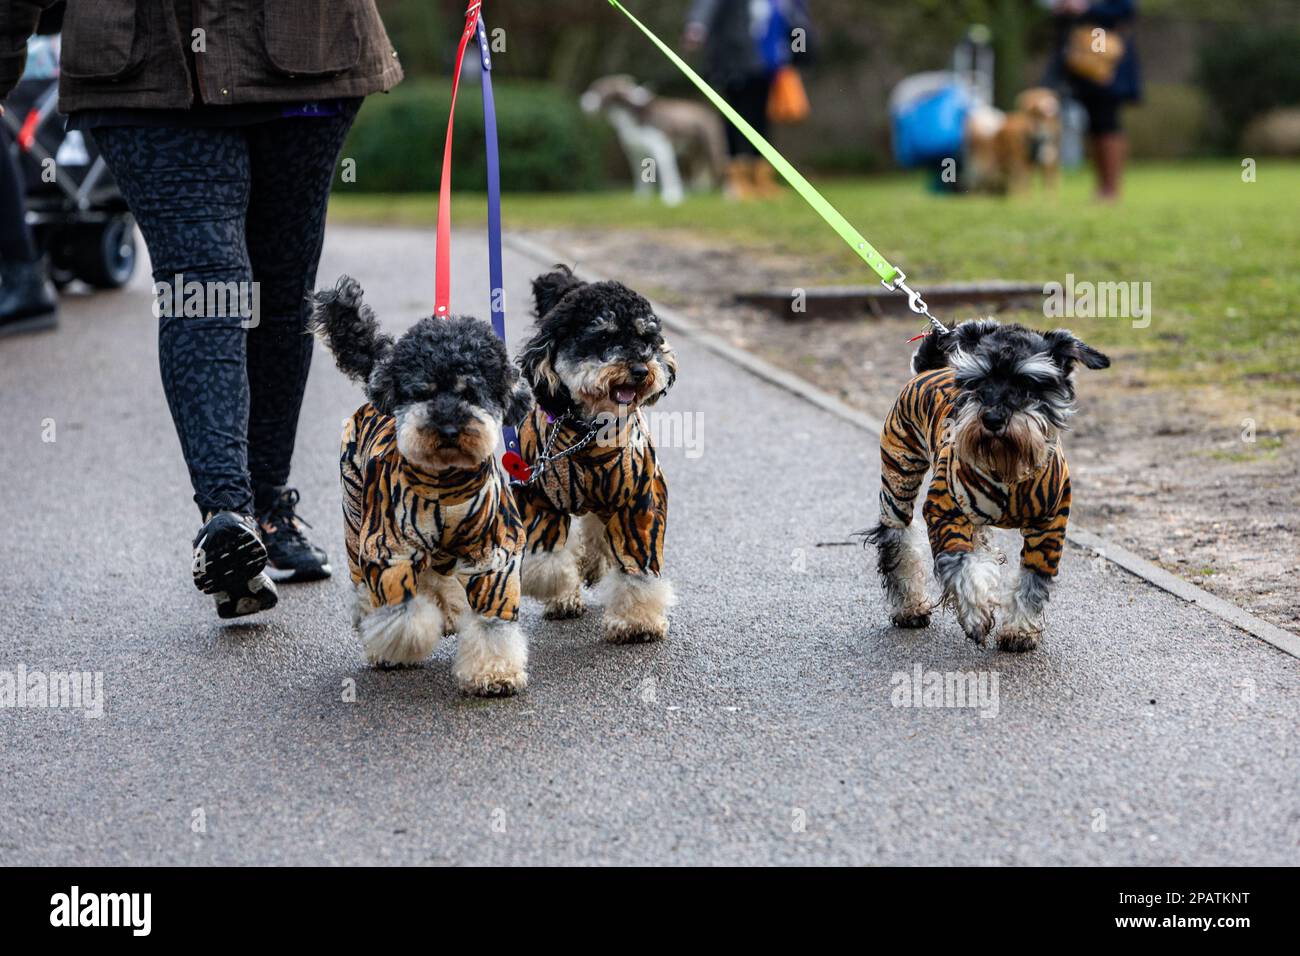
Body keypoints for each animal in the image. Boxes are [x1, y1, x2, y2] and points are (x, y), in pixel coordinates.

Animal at [309, 277, 533, 697]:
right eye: (423, 390)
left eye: (470, 391)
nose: (447, 429)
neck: (446, 484)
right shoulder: (388, 546)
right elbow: (403, 613)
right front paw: (399, 643)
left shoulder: (494, 550)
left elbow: (493, 621)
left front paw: (494, 672)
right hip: (354, 514)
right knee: (366, 589)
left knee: (437, 576)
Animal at [582, 75, 728, 206]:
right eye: (591, 88)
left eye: (600, 90)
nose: (582, 103)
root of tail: (707, 111)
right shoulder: (635, 152)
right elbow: (639, 176)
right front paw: (641, 198)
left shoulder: (661, 147)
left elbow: (668, 174)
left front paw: (672, 197)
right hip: (694, 151)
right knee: (700, 169)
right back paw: (699, 191)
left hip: (711, 147)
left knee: (718, 168)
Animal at [868, 319, 1112, 650]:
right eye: (979, 383)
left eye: (1027, 385)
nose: (993, 418)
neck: (1007, 468)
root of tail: (927, 369)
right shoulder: (945, 511)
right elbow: (960, 566)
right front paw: (977, 614)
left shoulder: (1049, 527)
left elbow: (1032, 579)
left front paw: (1020, 630)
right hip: (899, 474)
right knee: (897, 539)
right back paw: (910, 608)